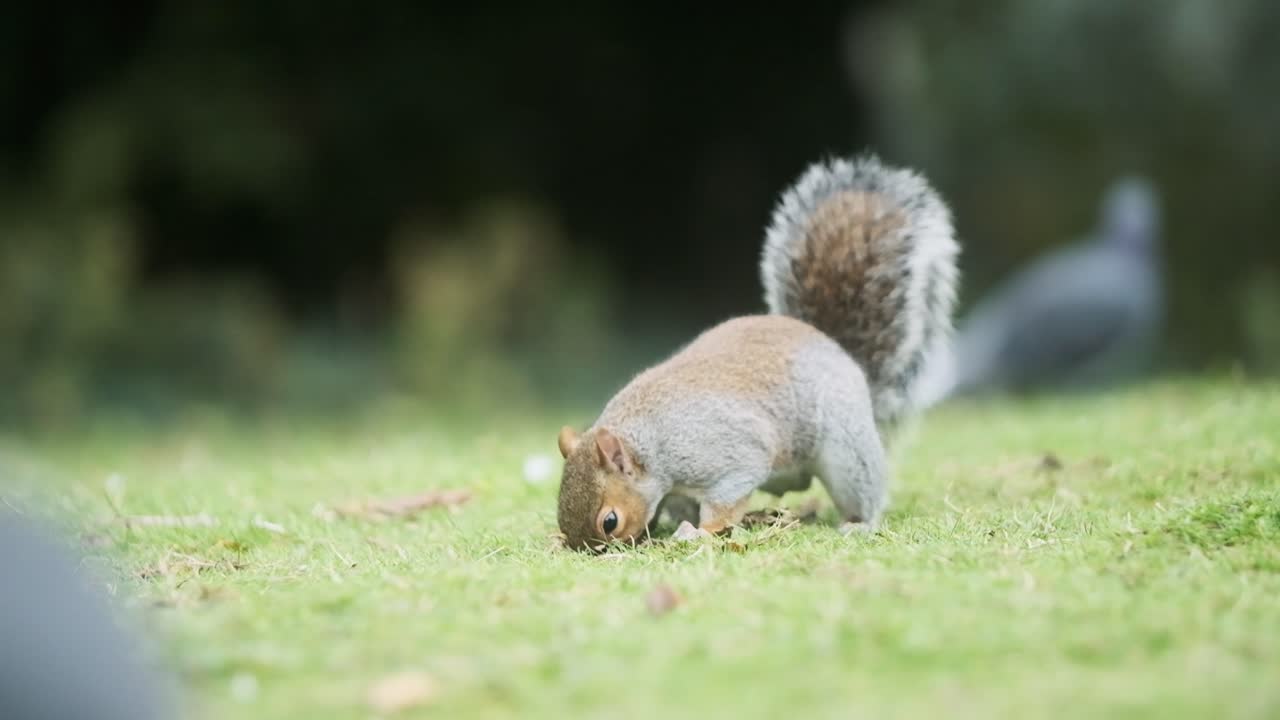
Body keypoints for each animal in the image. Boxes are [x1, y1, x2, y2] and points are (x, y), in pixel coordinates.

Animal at [556, 154, 959, 551]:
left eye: (609, 522)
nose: (590, 551)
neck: (650, 441)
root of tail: (839, 350)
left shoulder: (725, 452)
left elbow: (728, 496)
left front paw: (698, 532)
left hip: (845, 446)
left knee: (863, 489)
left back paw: (858, 524)